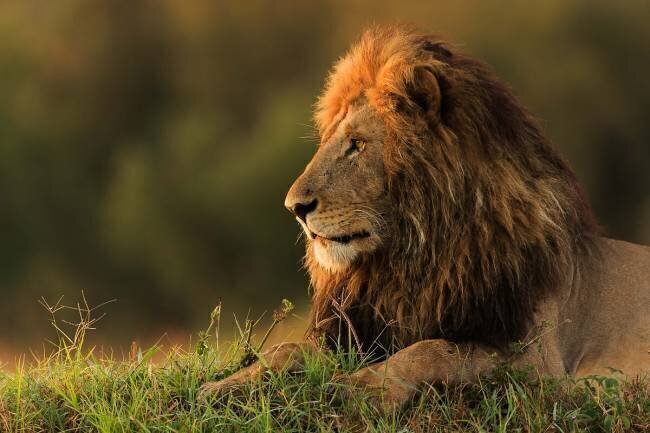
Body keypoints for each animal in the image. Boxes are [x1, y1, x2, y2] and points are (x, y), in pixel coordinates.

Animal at [200, 25, 650, 409]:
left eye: (357, 144)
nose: (294, 207)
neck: (415, 258)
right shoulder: (361, 329)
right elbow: (285, 349)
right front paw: (220, 387)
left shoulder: (538, 363)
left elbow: (433, 350)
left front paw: (363, 388)